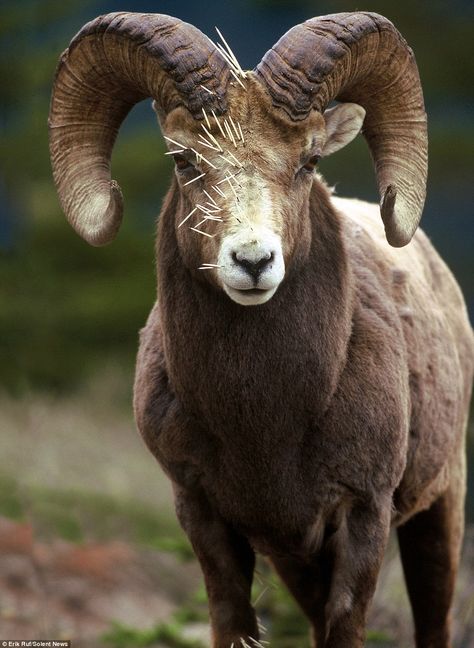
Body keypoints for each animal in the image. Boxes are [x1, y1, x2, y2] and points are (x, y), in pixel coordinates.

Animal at [50, 12, 472, 648]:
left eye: (308, 162)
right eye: (185, 161)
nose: (253, 262)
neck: (263, 421)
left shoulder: (363, 515)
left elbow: (345, 625)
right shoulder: (206, 517)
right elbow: (232, 620)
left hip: (439, 509)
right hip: (300, 564)